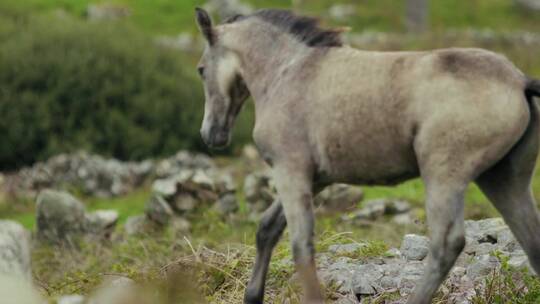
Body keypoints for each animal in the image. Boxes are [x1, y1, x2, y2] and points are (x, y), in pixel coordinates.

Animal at [194, 7, 540, 304]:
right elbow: (267, 228)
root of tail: (519, 81)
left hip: (444, 174)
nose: (211, 134)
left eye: (200, 69)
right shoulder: (314, 179)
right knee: (532, 242)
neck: (287, 72)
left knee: (447, 243)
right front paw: (252, 296)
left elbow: (300, 245)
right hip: (504, 180)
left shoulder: (290, 170)